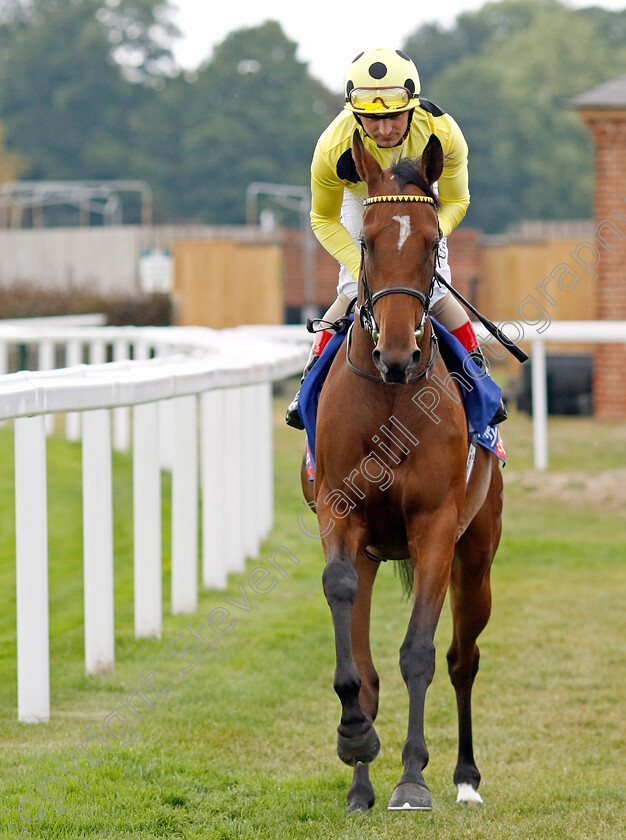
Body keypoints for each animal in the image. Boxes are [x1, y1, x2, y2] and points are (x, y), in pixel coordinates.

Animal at [302, 133, 502, 812]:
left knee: (463, 658)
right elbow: (355, 652)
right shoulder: (342, 516)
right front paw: (356, 741)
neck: (389, 397)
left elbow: (419, 653)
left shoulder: (436, 527)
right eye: (365, 242)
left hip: (477, 554)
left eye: (432, 240)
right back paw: (362, 782)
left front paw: (413, 778)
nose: (395, 353)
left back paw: (465, 778)